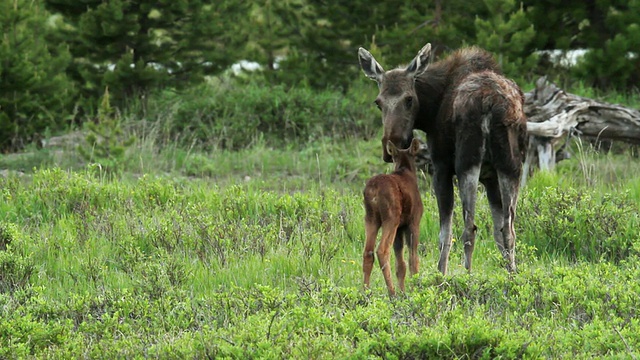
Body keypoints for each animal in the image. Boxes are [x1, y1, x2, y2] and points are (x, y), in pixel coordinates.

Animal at [358, 43, 528, 272]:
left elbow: (444, 234)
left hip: (467, 163)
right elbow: (498, 232)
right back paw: (512, 273)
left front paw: (440, 273)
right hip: (511, 165)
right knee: (509, 229)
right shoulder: (491, 178)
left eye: (409, 99)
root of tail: (490, 103)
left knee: (469, 229)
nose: (391, 146)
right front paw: (509, 273)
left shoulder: (441, 167)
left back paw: (467, 274)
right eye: (378, 103)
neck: (430, 111)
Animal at [362, 138, 422, 296]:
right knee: (382, 250)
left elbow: (401, 265)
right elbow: (413, 260)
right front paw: (415, 288)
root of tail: (373, 190)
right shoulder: (413, 222)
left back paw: (365, 292)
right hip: (391, 218)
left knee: (367, 252)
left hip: (371, 218)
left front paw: (404, 291)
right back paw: (392, 293)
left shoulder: (400, 228)